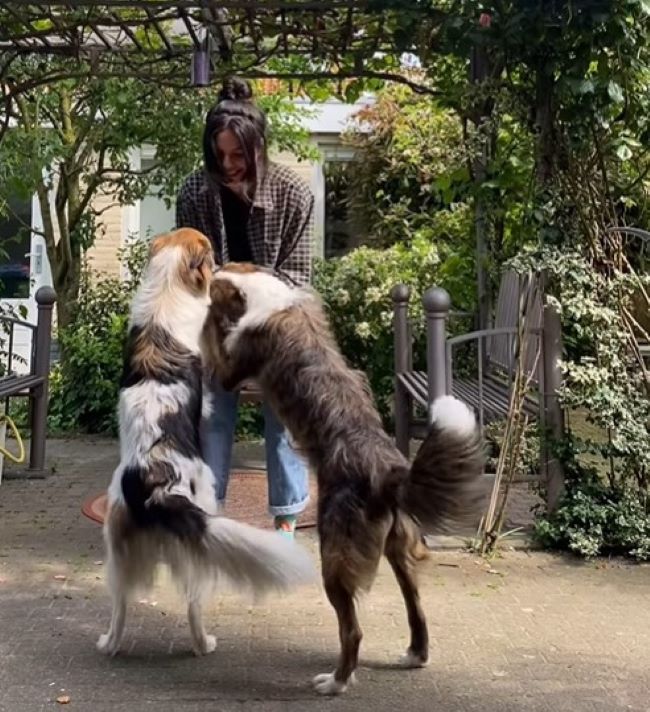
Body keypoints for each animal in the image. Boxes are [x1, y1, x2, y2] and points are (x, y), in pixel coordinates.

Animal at [97, 231, 316, 660]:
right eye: (212, 250)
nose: (223, 263)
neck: (167, 290)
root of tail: (156, 487)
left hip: (116, 545)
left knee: (119, 605)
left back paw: (109, 643)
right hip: (203, 517)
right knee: (193, 604)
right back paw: (204, 644)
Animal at [204, 262, 486, 696]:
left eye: (217, 282)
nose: (212, 266)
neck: (264, 294)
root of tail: (388, 472)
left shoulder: (231, 370)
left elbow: (212, 343)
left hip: (335, 556)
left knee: (352, 630)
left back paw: (335, 682)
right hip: (399, 549)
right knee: (416, 608)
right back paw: (414, 655)